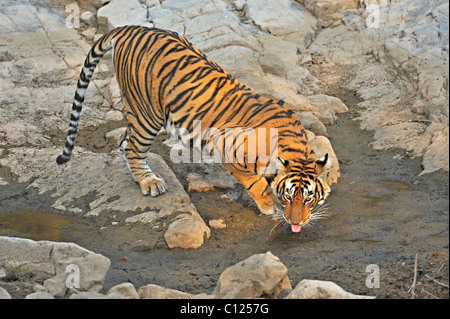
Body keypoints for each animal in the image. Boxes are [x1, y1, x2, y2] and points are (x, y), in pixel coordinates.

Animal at [56, 25, 330, 234]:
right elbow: (256, 183)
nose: (296, 222)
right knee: (133, 147)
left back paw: (139, 177)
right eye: (288, 196)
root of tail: (131, 28)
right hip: (148, 114)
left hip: (140, 114)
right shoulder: (225, 146)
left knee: (124, 139)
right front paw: (269, 205)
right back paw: (149, 182)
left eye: (308, 198)